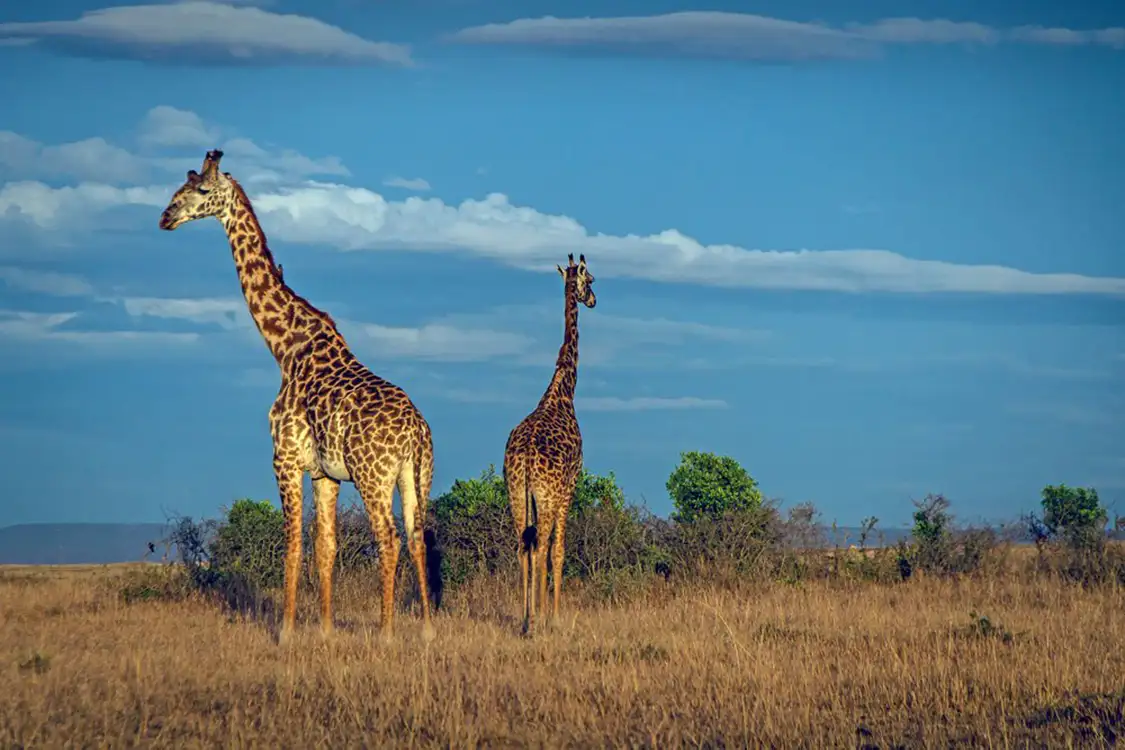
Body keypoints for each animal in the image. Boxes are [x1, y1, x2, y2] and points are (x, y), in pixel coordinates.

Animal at [158, 150, 435, 646]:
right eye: (179, 187)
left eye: (201, 190)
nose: (165, 217)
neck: (285, 347)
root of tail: (416, 431)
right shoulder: (325, 474)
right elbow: (325, 547)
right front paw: (324, 630)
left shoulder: (283, 458)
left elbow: (291, 545)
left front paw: (286, 632)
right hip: (415, 475)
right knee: (417, 535)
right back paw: (425, 630)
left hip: (373, 476)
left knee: (389, 537)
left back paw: (386, 633)